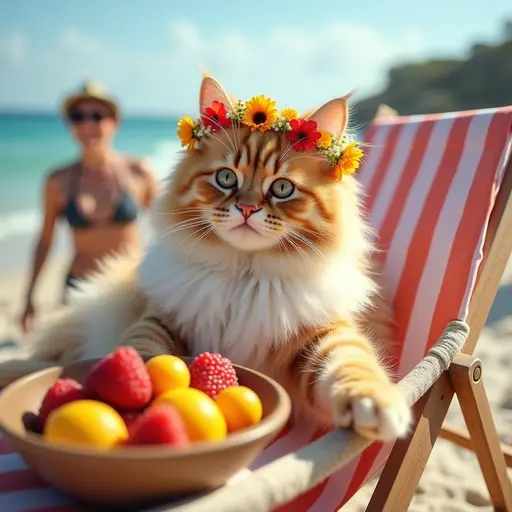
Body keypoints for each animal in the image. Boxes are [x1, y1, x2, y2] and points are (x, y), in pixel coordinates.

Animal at [1, 75, 412, 440]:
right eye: (226, 179)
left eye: (281, 188)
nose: (246, 209)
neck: (243, 278)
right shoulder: (160, 321)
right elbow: (144, 353)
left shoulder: (324, 334)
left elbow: (352, 366)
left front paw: (376, 406)